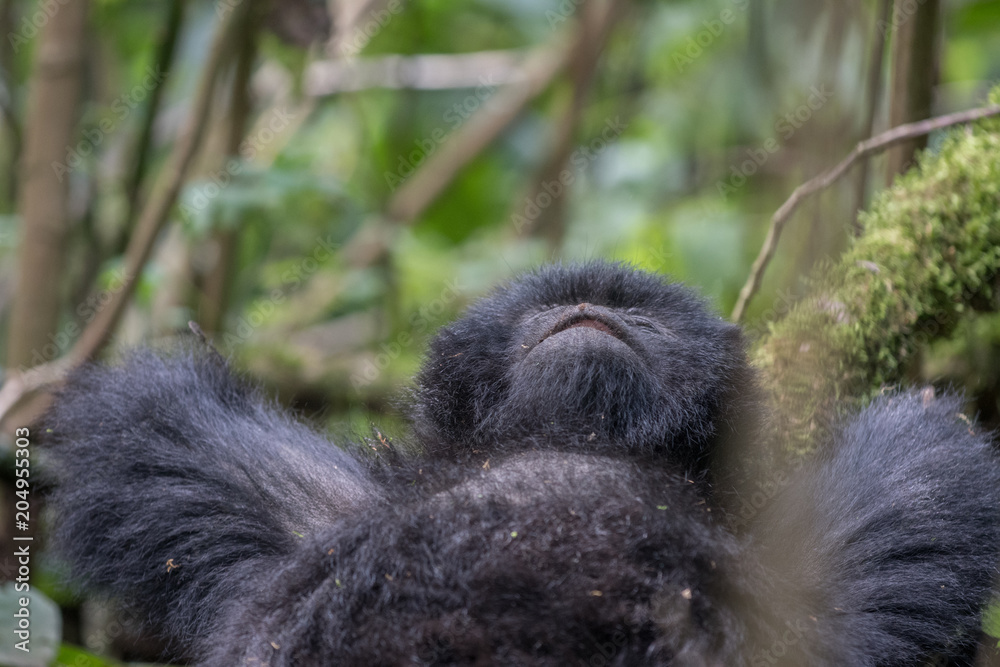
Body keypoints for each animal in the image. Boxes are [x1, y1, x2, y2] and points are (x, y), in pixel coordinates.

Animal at [43, 261, 1000, 666]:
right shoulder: (319, 512)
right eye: (549, 306)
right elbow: (146, 418)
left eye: (638, 314)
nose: (588, 311)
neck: (572, 441)